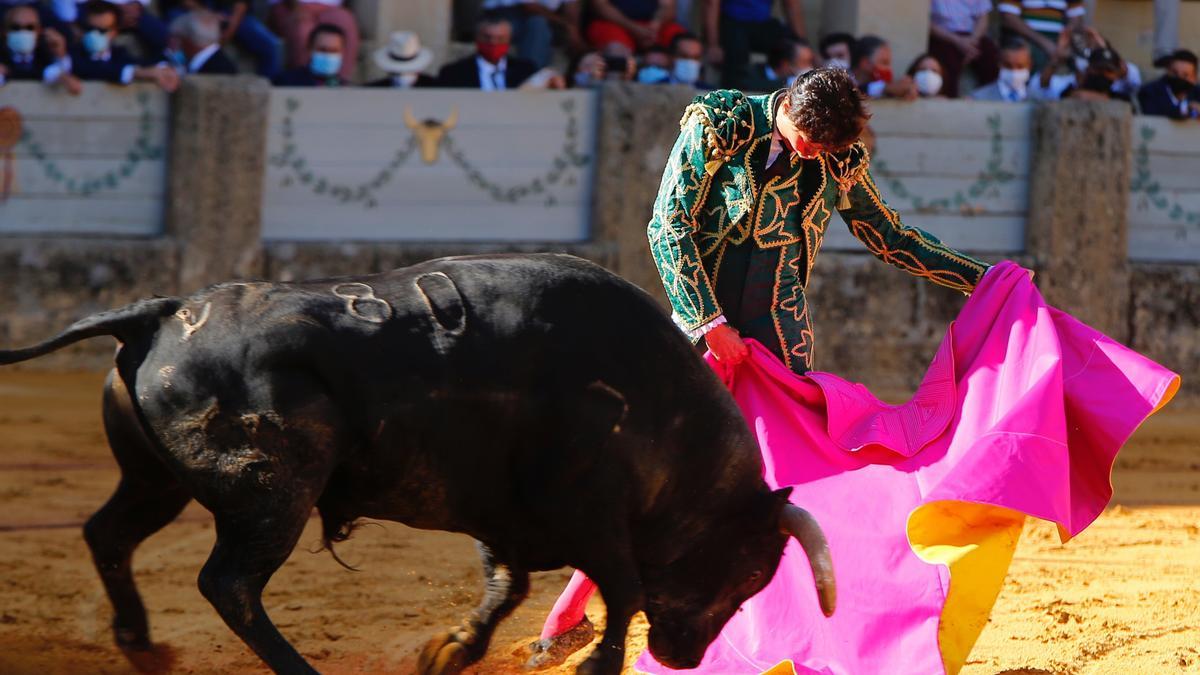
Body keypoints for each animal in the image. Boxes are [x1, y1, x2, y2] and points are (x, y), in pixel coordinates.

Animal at [0, 253, 835, 672]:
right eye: (750, 570)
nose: (681, 655)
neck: (664, 411)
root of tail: (166, 310)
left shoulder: (505, 515)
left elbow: (506, 587)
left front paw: (451, 651)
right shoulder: (591, 515)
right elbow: (622, 587)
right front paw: (590, 668)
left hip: (156, 481)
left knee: (109, 533)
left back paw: (143, 646)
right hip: (274, 494)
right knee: (229, 584)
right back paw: (297, 672)